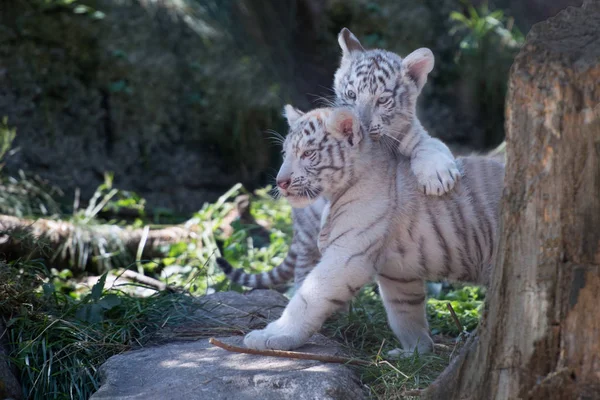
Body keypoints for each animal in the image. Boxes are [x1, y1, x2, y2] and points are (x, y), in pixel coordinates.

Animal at [218, 28, 462, 290]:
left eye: (382, 100)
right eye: (351, 94)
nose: (358, 126)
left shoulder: (416, 135)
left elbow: (431, 145)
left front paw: (439, 177)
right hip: (307, 231)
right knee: (304, 263)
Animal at [232, 106, 504, 356]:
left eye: (308, 153)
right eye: (285, 153)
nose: (280, 182)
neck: (337, 192)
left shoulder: (346, 255)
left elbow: (307, 299)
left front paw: (272, 335)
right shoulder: (399, 272)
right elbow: (404, 311)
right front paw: (415, 353)